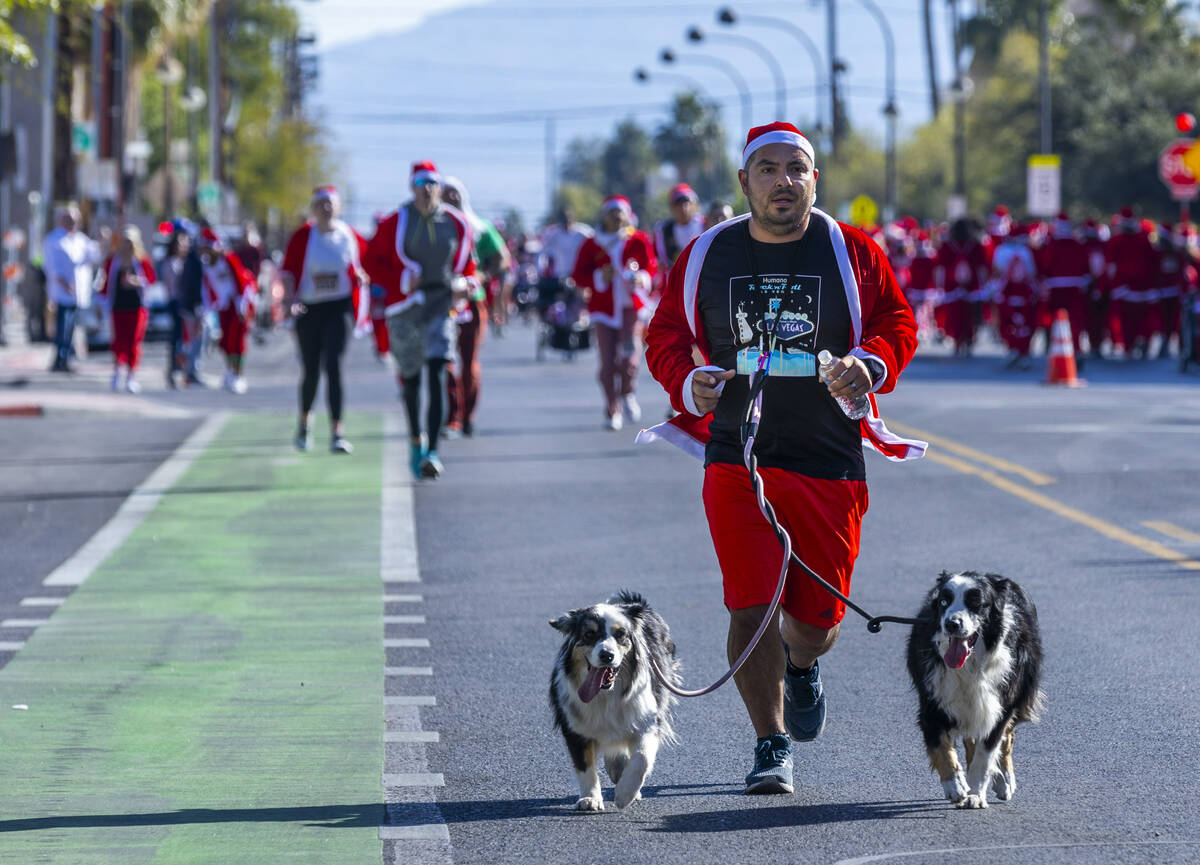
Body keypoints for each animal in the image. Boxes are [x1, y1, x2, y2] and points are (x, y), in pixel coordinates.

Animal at [549, 590, 681, 806]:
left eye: (620, 635)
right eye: (589, 634)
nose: (607, 655)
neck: (606, 694)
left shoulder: (648, 718)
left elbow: (642, 757)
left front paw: (625, 794)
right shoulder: (574, 725)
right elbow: (584, 766)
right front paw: (590, 798)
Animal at [907, 571, 1041, 806]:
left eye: (976, 603)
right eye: (944, 602)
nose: (951, 624)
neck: (969, 665)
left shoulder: (1001, 705)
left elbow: (985, 754)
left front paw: (975, 794)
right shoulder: (932, 699)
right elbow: (941, 746)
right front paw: (955, 785)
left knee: (1007, 737)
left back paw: (1005, 780)